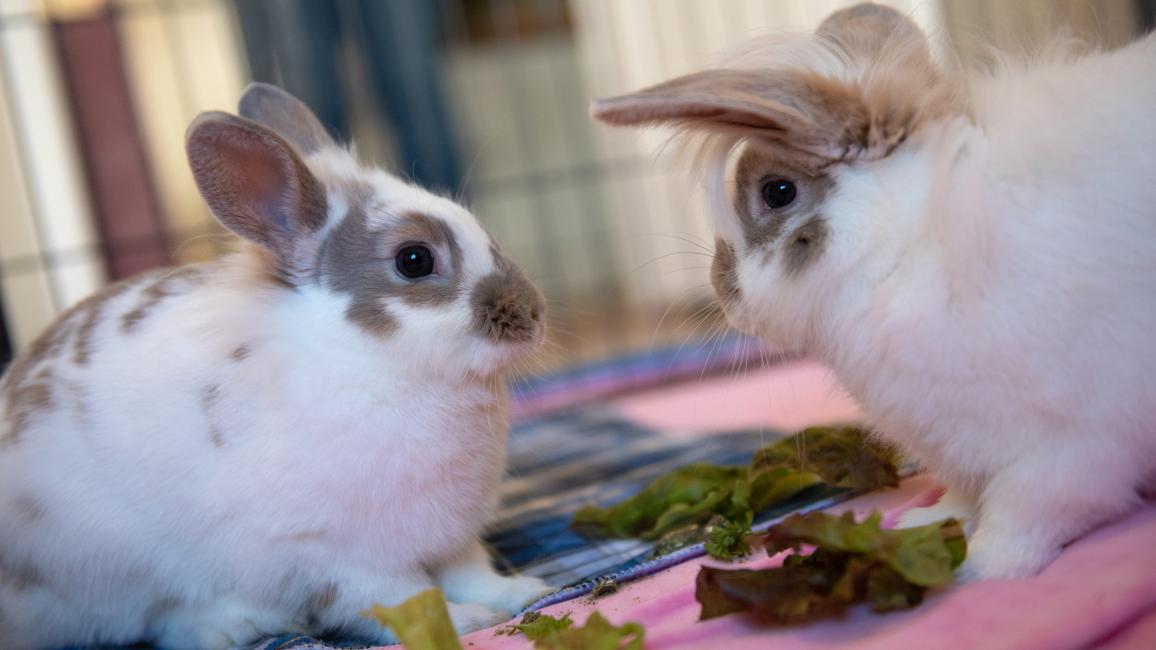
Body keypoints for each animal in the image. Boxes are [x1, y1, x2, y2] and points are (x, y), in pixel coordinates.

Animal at [0, 83, 552, 649]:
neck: (371, 361)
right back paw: (233, 624)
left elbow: (471, 571)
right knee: (162, 620)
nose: (532, 314)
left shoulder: (453, 535)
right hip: (110, 573)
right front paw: (464, 622)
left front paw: (520, 591)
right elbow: (404, 600)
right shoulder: (333, 554)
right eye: (414, 259)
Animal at [591, 2, 1156, 581]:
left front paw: (979, 567)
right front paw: (923, 523)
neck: (912, 236)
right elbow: (964, 497)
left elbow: (1025, 514)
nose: (721, 289)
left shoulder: (1071, 448)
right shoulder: (968, 449)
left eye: (778, 191)